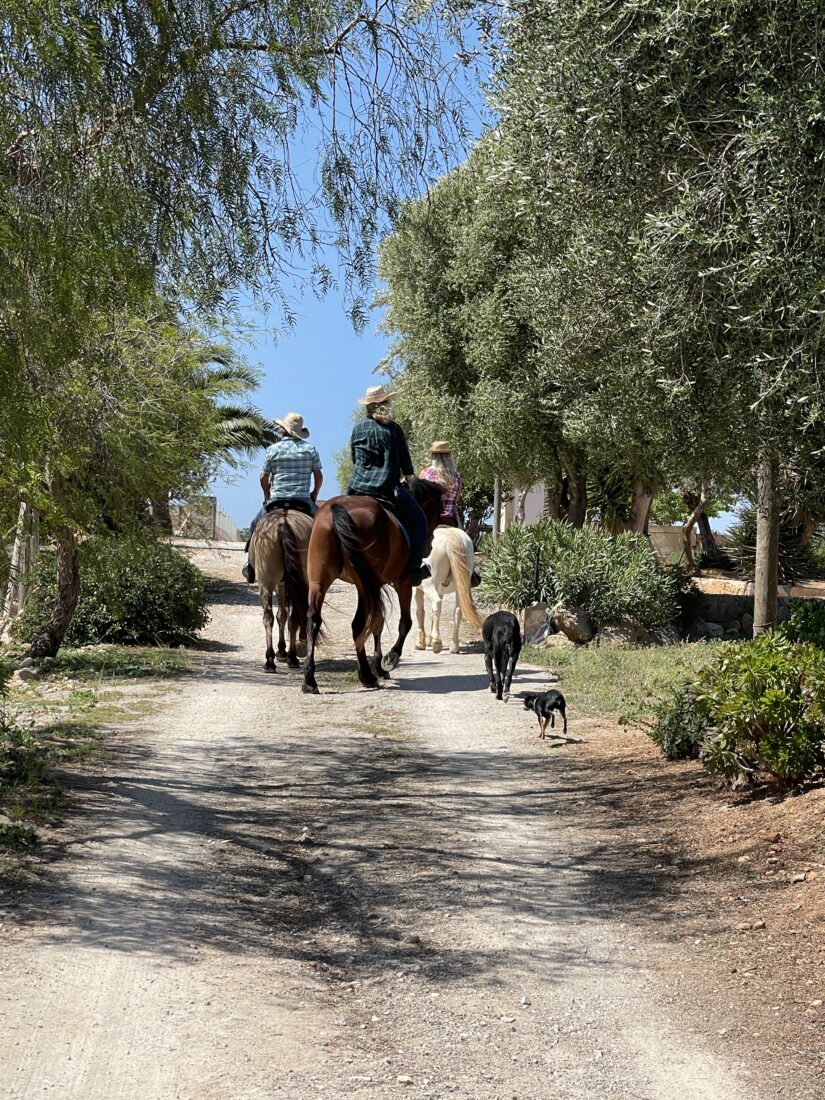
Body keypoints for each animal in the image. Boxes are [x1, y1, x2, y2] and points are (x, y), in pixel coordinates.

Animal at [248, 510, 312, 673]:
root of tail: (283, 522)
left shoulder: (280, 584)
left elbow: (281, 615)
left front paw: (282, 651)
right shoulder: (285, 584)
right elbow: (284, 615)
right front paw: (284, 651)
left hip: (267, 583)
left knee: (269, 617)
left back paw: (272, 660)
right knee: (291, 617)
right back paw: (290, 657)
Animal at [303, 477, 446, 690]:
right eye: (437, 510)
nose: (430, 543)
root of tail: (337, 508)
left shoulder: (377, 586)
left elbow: (378, 624)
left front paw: (379, 666)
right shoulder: (401, 583)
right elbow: (404, 622)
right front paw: (390, 658)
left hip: (320, 581)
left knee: (314, 619)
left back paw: (310, 680)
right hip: (364, 585)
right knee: (358, 624)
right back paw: (367, 676)